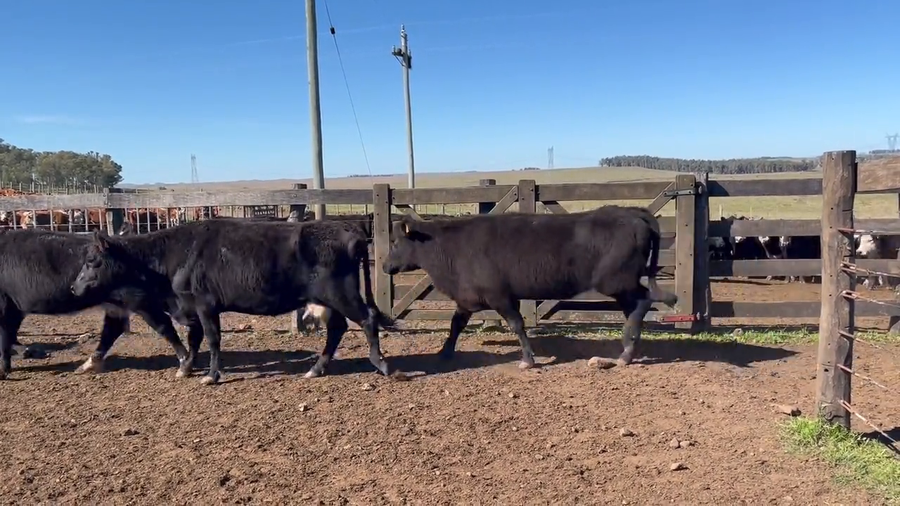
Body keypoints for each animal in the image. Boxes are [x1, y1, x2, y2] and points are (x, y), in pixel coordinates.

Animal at [0, 229, 201, 380]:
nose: (73, 287)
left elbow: (5, 336)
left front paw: (4, 370)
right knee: (112, 330)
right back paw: (86, 365)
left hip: (136, 301)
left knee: (161, 326)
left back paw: (184, 363)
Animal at [70, 218, 396, 385]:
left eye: (91, 260)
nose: (74, 287)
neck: (177, 255)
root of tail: (349, 228)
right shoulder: (191, 308)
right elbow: (195, 339)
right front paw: (186, 367)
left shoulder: (205, 304)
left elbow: (212, 339)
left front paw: (211, 376)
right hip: (328, 300)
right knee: (338, 328)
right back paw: (317, 368)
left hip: (341, 294)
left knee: (367, 318)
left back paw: (382, 364)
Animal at [382, 206, 678, 369]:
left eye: (395, 242)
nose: (384, 266)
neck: (450, 247)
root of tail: (632, 213)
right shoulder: (467, 299)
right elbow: (456, 325)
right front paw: (444, 352)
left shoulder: (500, 296)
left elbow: (517, 324)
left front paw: (528, 359)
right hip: (621, 286)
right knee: (635, 309)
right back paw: (628, 349)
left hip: (617, 281)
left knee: (643, 302)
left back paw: (626, 354)